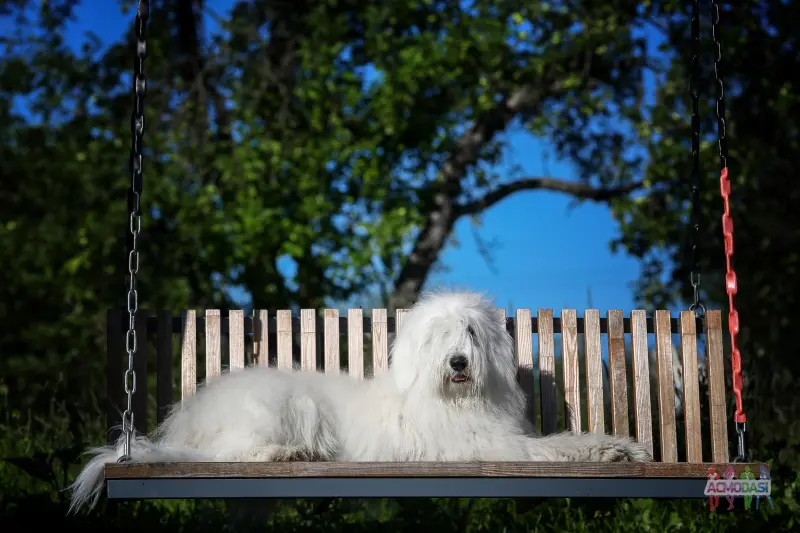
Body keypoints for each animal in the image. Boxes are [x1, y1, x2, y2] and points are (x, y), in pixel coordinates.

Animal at [70, 290, 648, 512]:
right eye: (438, 336)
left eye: (470, 331)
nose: (459, 362)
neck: (454, 400)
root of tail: (188, 420)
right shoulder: (487, 447)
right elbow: (552, 448)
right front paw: (606, 449)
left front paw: (622, 448)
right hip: (282, 406)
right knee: (232, 454)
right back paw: (290, 454)